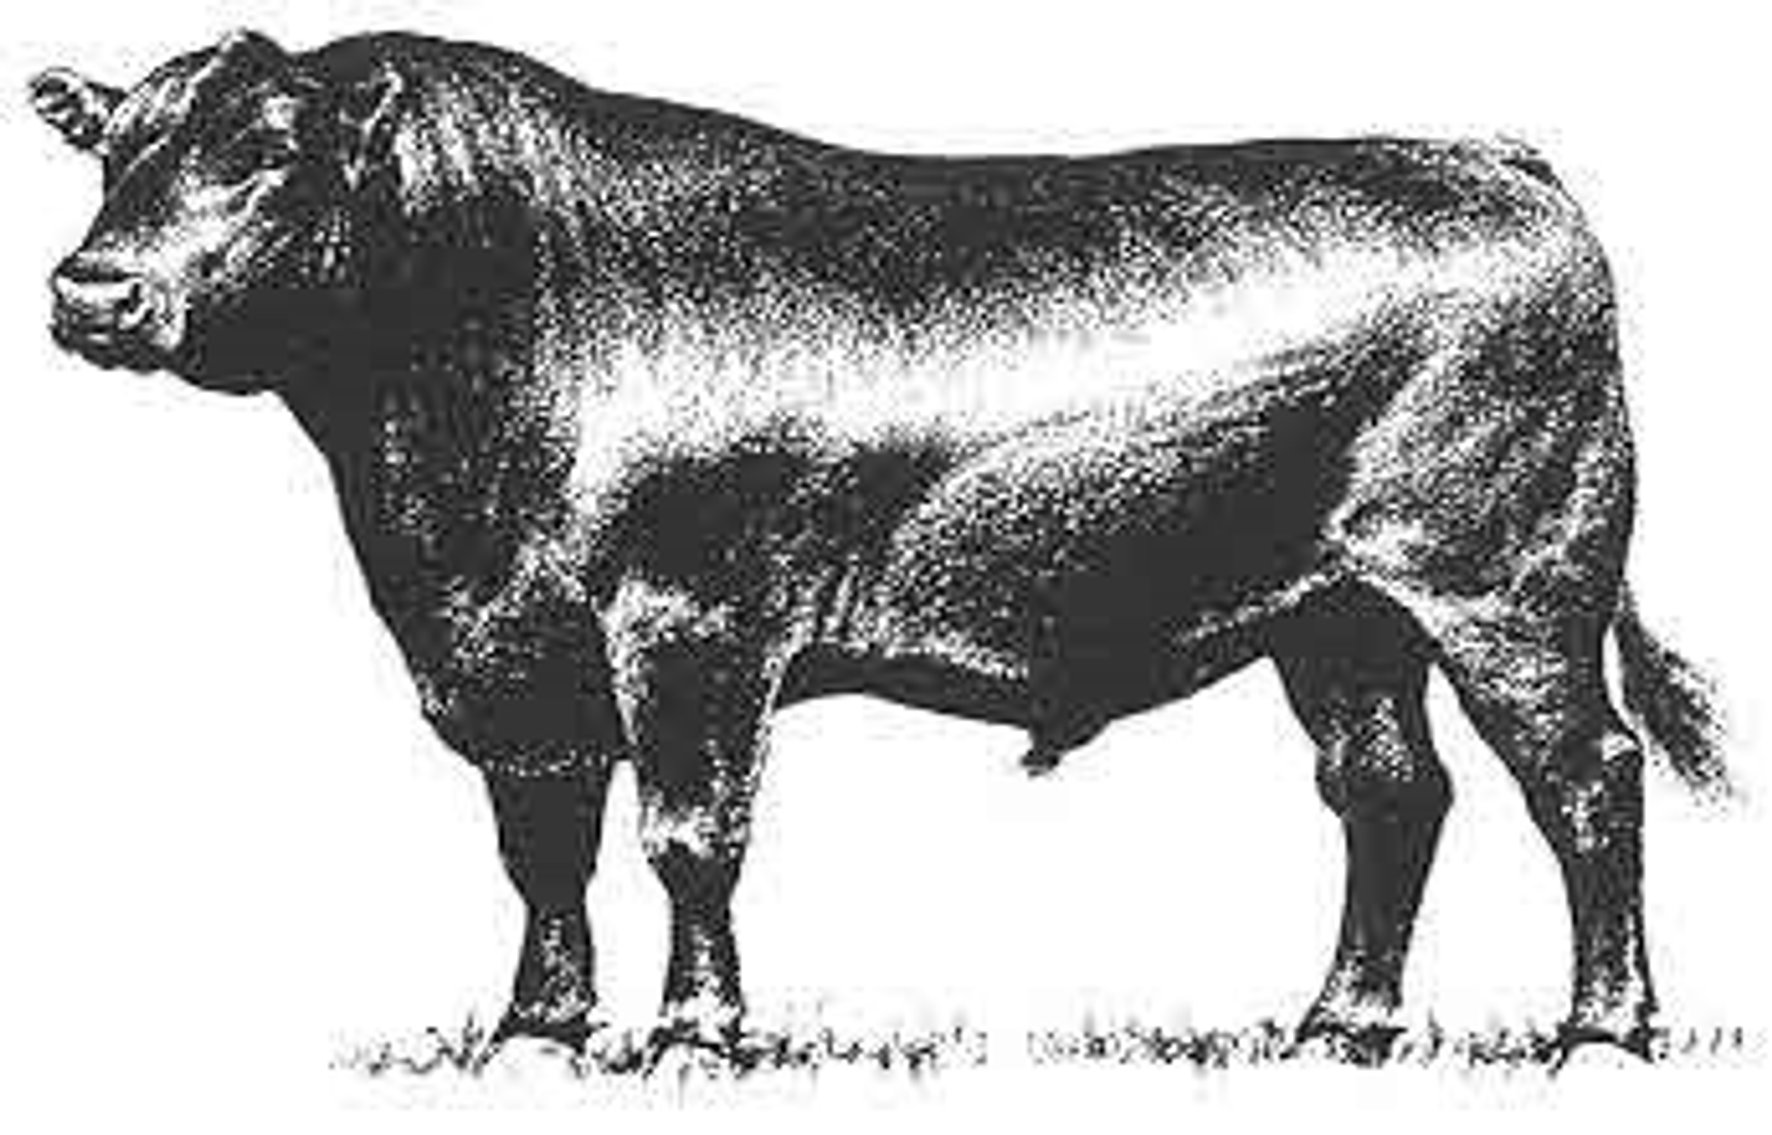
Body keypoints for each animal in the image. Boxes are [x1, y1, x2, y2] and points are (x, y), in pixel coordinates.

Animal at [31, 28, 1725, 1067]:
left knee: (1588, 775)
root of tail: (1485, 155)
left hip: (1509, 584)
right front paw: (538, 1030)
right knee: (1389, 790)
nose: (90, 289)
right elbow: (543, 840)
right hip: (1338, 615)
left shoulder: (694, 623)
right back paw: (1340, 1026)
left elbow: (687, 835)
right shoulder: (503, 649)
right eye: (115, 148)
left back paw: (1601, 1031)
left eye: (268, 147)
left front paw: (698, 1034)